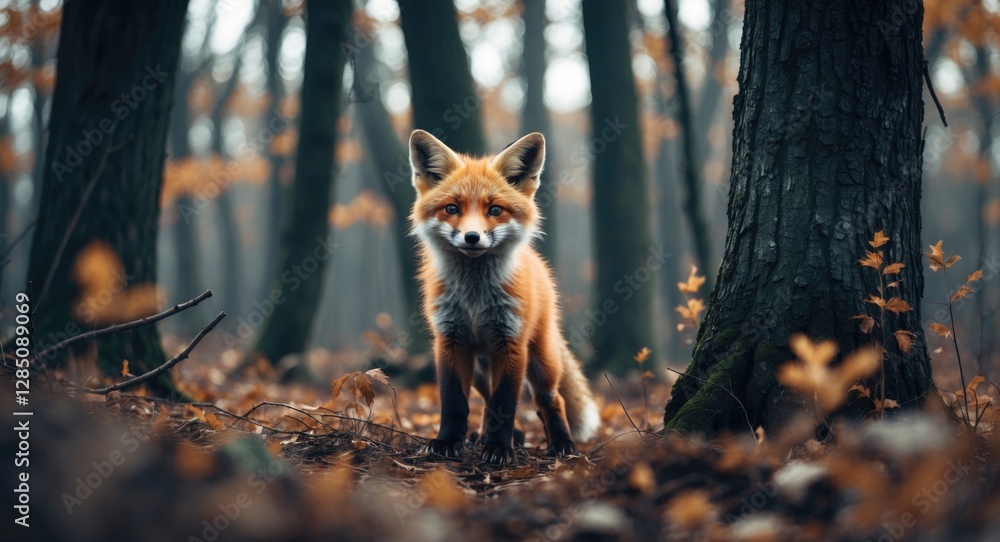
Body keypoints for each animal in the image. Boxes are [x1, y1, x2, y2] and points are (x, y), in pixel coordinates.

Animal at [408, 129, 600, 465]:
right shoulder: (449, 341)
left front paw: (499, 449)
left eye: (495, 210)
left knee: (551, 400)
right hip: (479, 368)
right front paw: (447, 442)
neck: (475, 299)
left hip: (540, 361)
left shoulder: (511, 343)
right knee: (485, 399)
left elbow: (505, 404)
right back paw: (488, 435)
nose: (472, 237)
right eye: (452, 208)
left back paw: (561, 444)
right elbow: (455, 403)